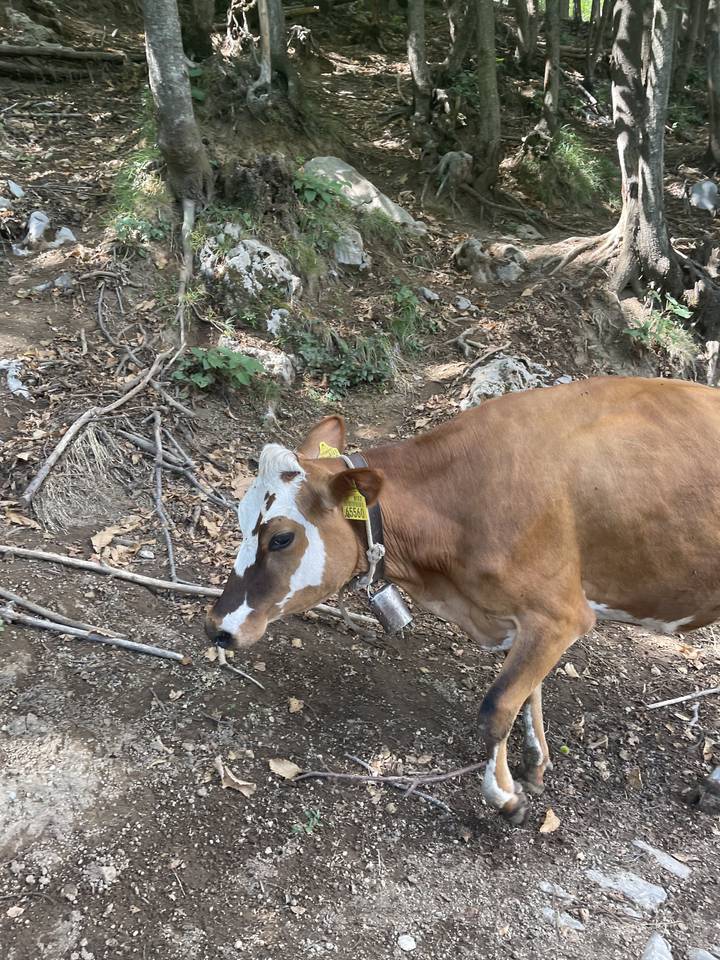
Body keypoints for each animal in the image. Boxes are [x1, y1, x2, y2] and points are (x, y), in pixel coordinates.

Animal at [206, 376, 720, 824]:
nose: (216, 626)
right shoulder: (532, 620)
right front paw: (534, 765)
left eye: (281, 538)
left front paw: (504, 797)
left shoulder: (561, 614)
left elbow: (497, 706)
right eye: (241, 518)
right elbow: (528, 693)